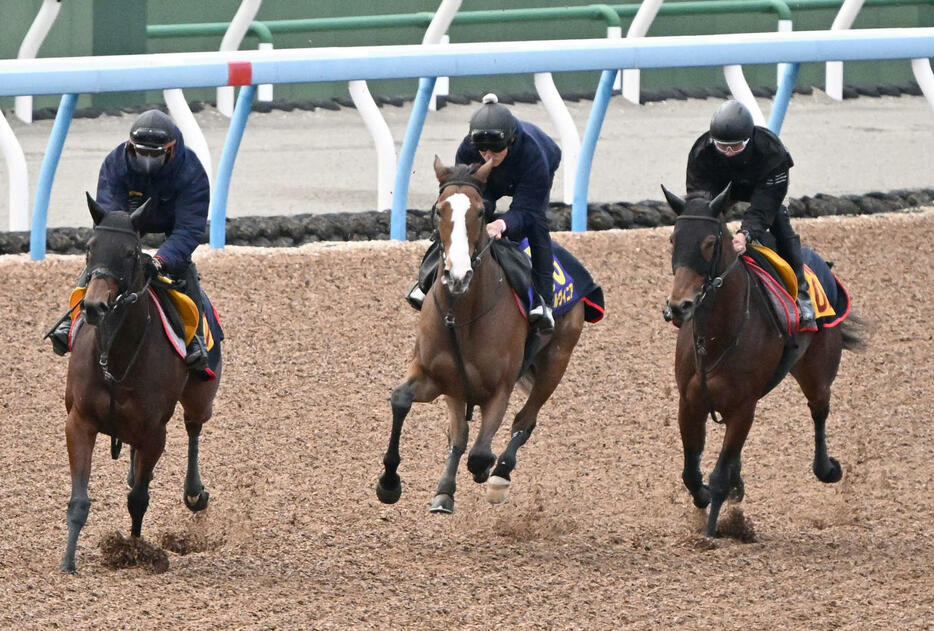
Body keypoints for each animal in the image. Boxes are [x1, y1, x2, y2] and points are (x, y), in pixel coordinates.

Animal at [60, 195, 221, 576]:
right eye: (89, 248)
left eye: (131, 252)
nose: (94, 305)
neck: (115, 357)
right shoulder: (79, 422)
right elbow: (79, 501)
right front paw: (68, 562)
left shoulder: (153, 433)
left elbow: (138, 500)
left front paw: (135, 551)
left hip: (201, 396)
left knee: (193, 426)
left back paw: (194, 492)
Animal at [374, 157, 584, 512]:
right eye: (438, 210)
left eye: (482, 212)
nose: (458, 275)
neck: (462, 315)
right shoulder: (436, 377)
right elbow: (401, 400)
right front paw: (389, 482)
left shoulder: (499, 388)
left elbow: (481, 452)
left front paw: (486, 470)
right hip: (458, 389)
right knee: (459, 437)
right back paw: (444, 491)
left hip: (556, 361)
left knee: (524, 421)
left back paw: (499, 475)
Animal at [660, 186, 868, 540]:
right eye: (675, 239)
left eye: (710, 243)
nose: (679, 306)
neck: (716, 337)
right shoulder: (689, 402)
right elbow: (691, 473)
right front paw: (706, 497)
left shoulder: (745, 407)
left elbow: (717, 476)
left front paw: (714, 531)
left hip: (818, 371)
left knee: (819, 410)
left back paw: (827, 468)